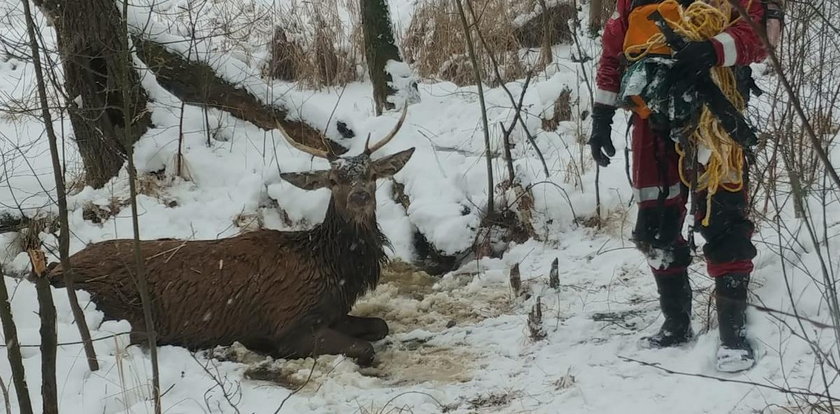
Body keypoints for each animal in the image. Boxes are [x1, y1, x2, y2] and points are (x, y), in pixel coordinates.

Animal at [49, 106, 414, 366]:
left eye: (371, 175)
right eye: (335, 180)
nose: (360, 196)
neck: (334, 271)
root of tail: (51, 269)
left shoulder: (334, 313)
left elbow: (380, 325)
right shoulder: (288, 324)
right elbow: (365, 348)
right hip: (120, 310)